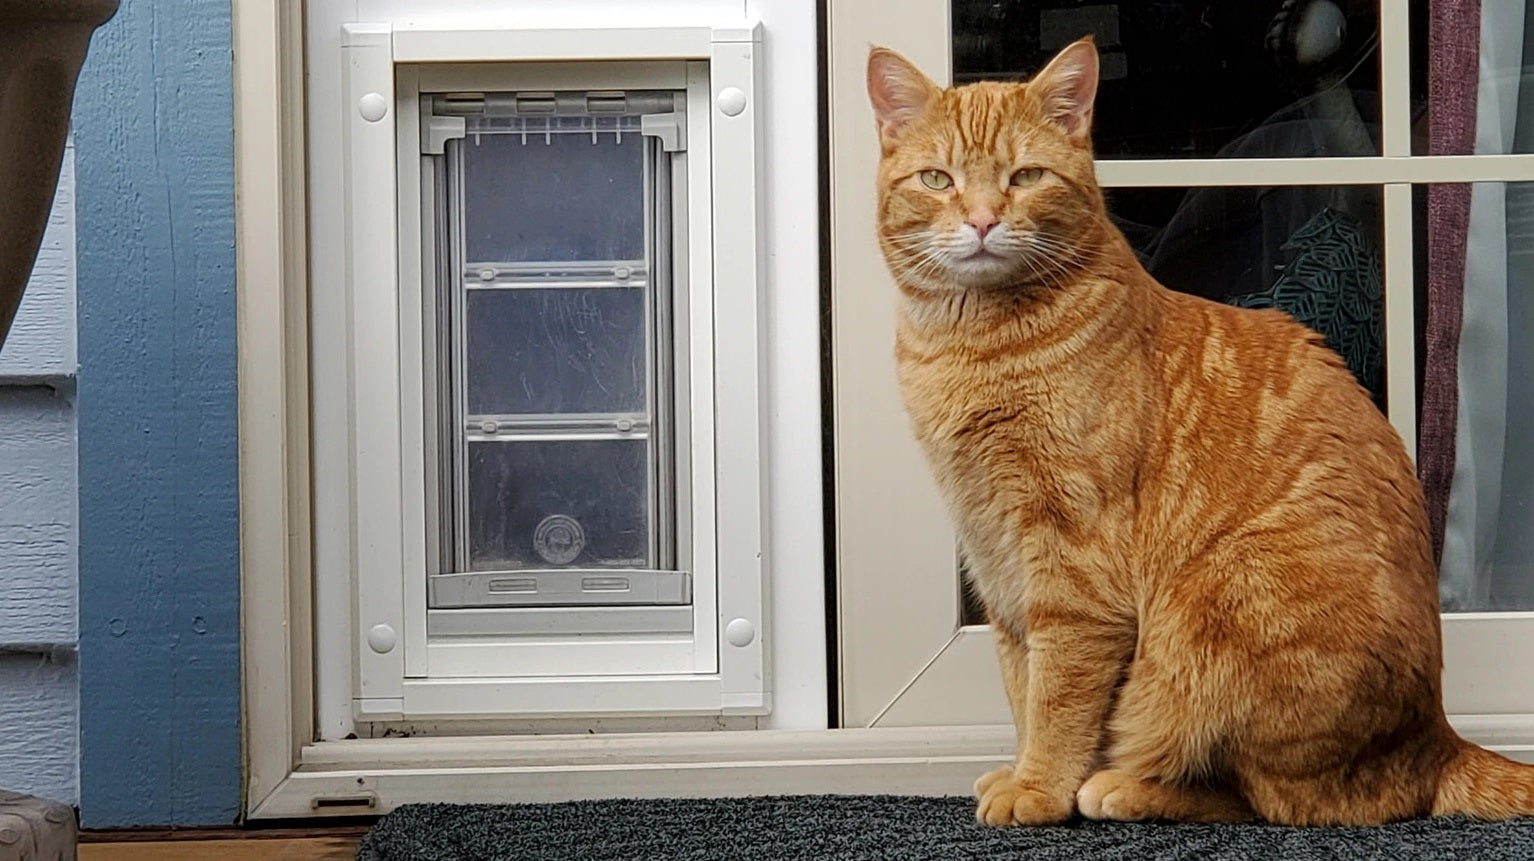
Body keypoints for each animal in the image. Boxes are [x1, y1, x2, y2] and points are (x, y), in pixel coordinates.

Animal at [865, 40, 1534, 828]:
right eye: (937, 180)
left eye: (1025, 177)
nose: (980, 221)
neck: (969, 345)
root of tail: (1436, 736)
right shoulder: (996, 552)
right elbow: (1019, 678)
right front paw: (1026, 768)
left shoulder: (1070, 556)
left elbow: (1056, 691)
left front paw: (1040, 786)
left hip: (1212, 606)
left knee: (1269, 796)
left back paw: (1120, 786)